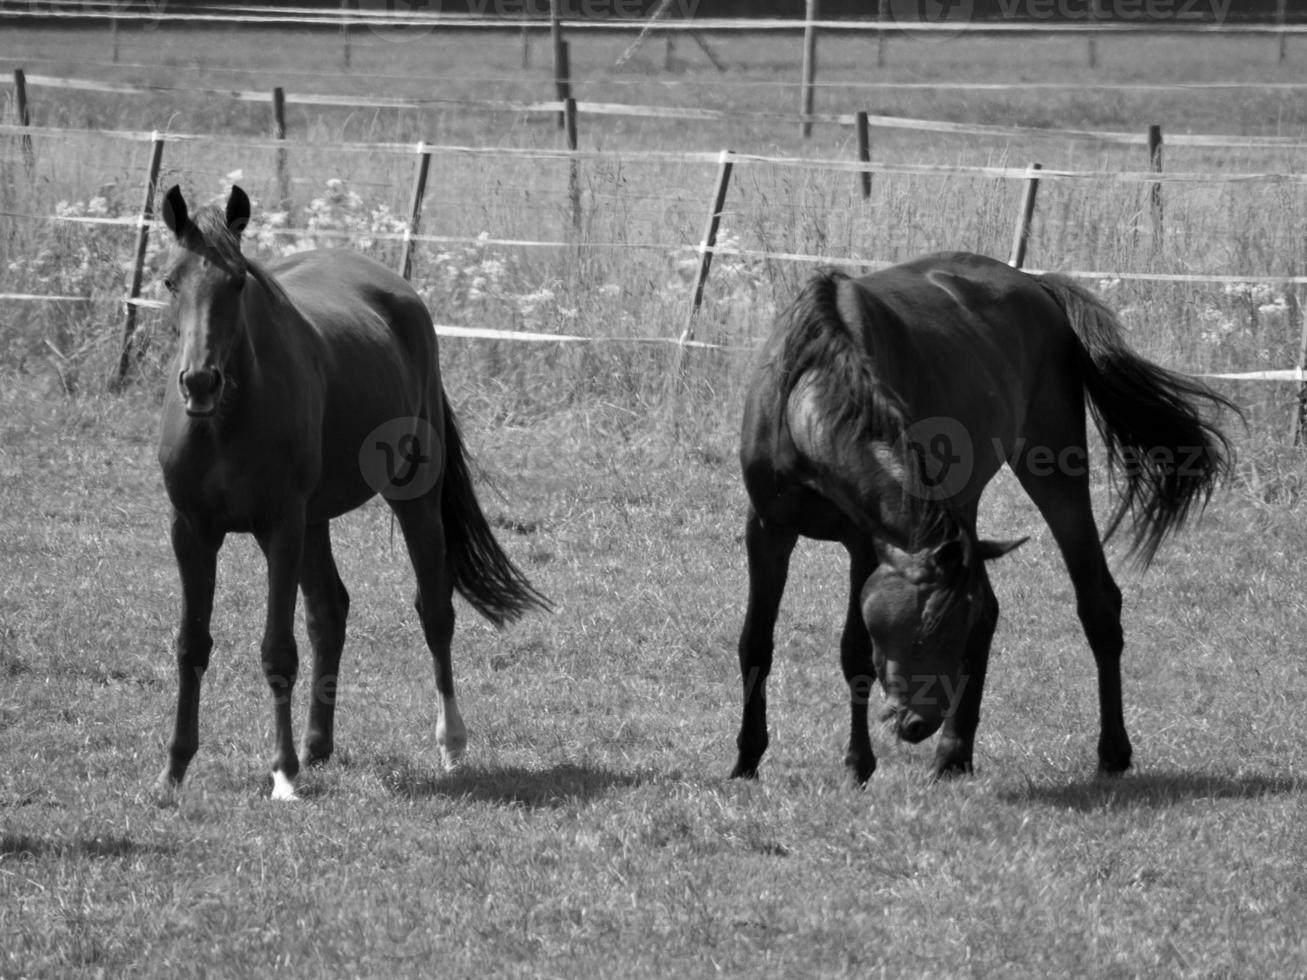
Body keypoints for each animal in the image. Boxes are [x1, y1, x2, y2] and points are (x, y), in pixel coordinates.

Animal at [155, 185, 548, 804]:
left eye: (237, 281)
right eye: (172, 281)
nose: (199, 382)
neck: (225, 420)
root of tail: (401, 293)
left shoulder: (280, 527)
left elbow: (277, 650)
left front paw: (282, 775)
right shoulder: (191, 530)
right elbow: (192, 645)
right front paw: (173, 769)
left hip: (411, 501)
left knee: (435, 611)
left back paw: (450, 742)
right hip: (315, 521)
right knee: (329, 611)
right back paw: (317, 746)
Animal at [737, 250, 1233, 783]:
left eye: (949, 630)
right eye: (929, 630)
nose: (920, 724)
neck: (807, 395)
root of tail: (1035, 285)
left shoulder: (864, 544)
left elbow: (855, 654)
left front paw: (857, 766)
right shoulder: (767, 531)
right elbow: (756, 644)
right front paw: (746, 759)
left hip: (1054, 469)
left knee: (1095, 601)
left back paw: (1102, 750)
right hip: (966, 506)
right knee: (996, 606)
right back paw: (956, 753)